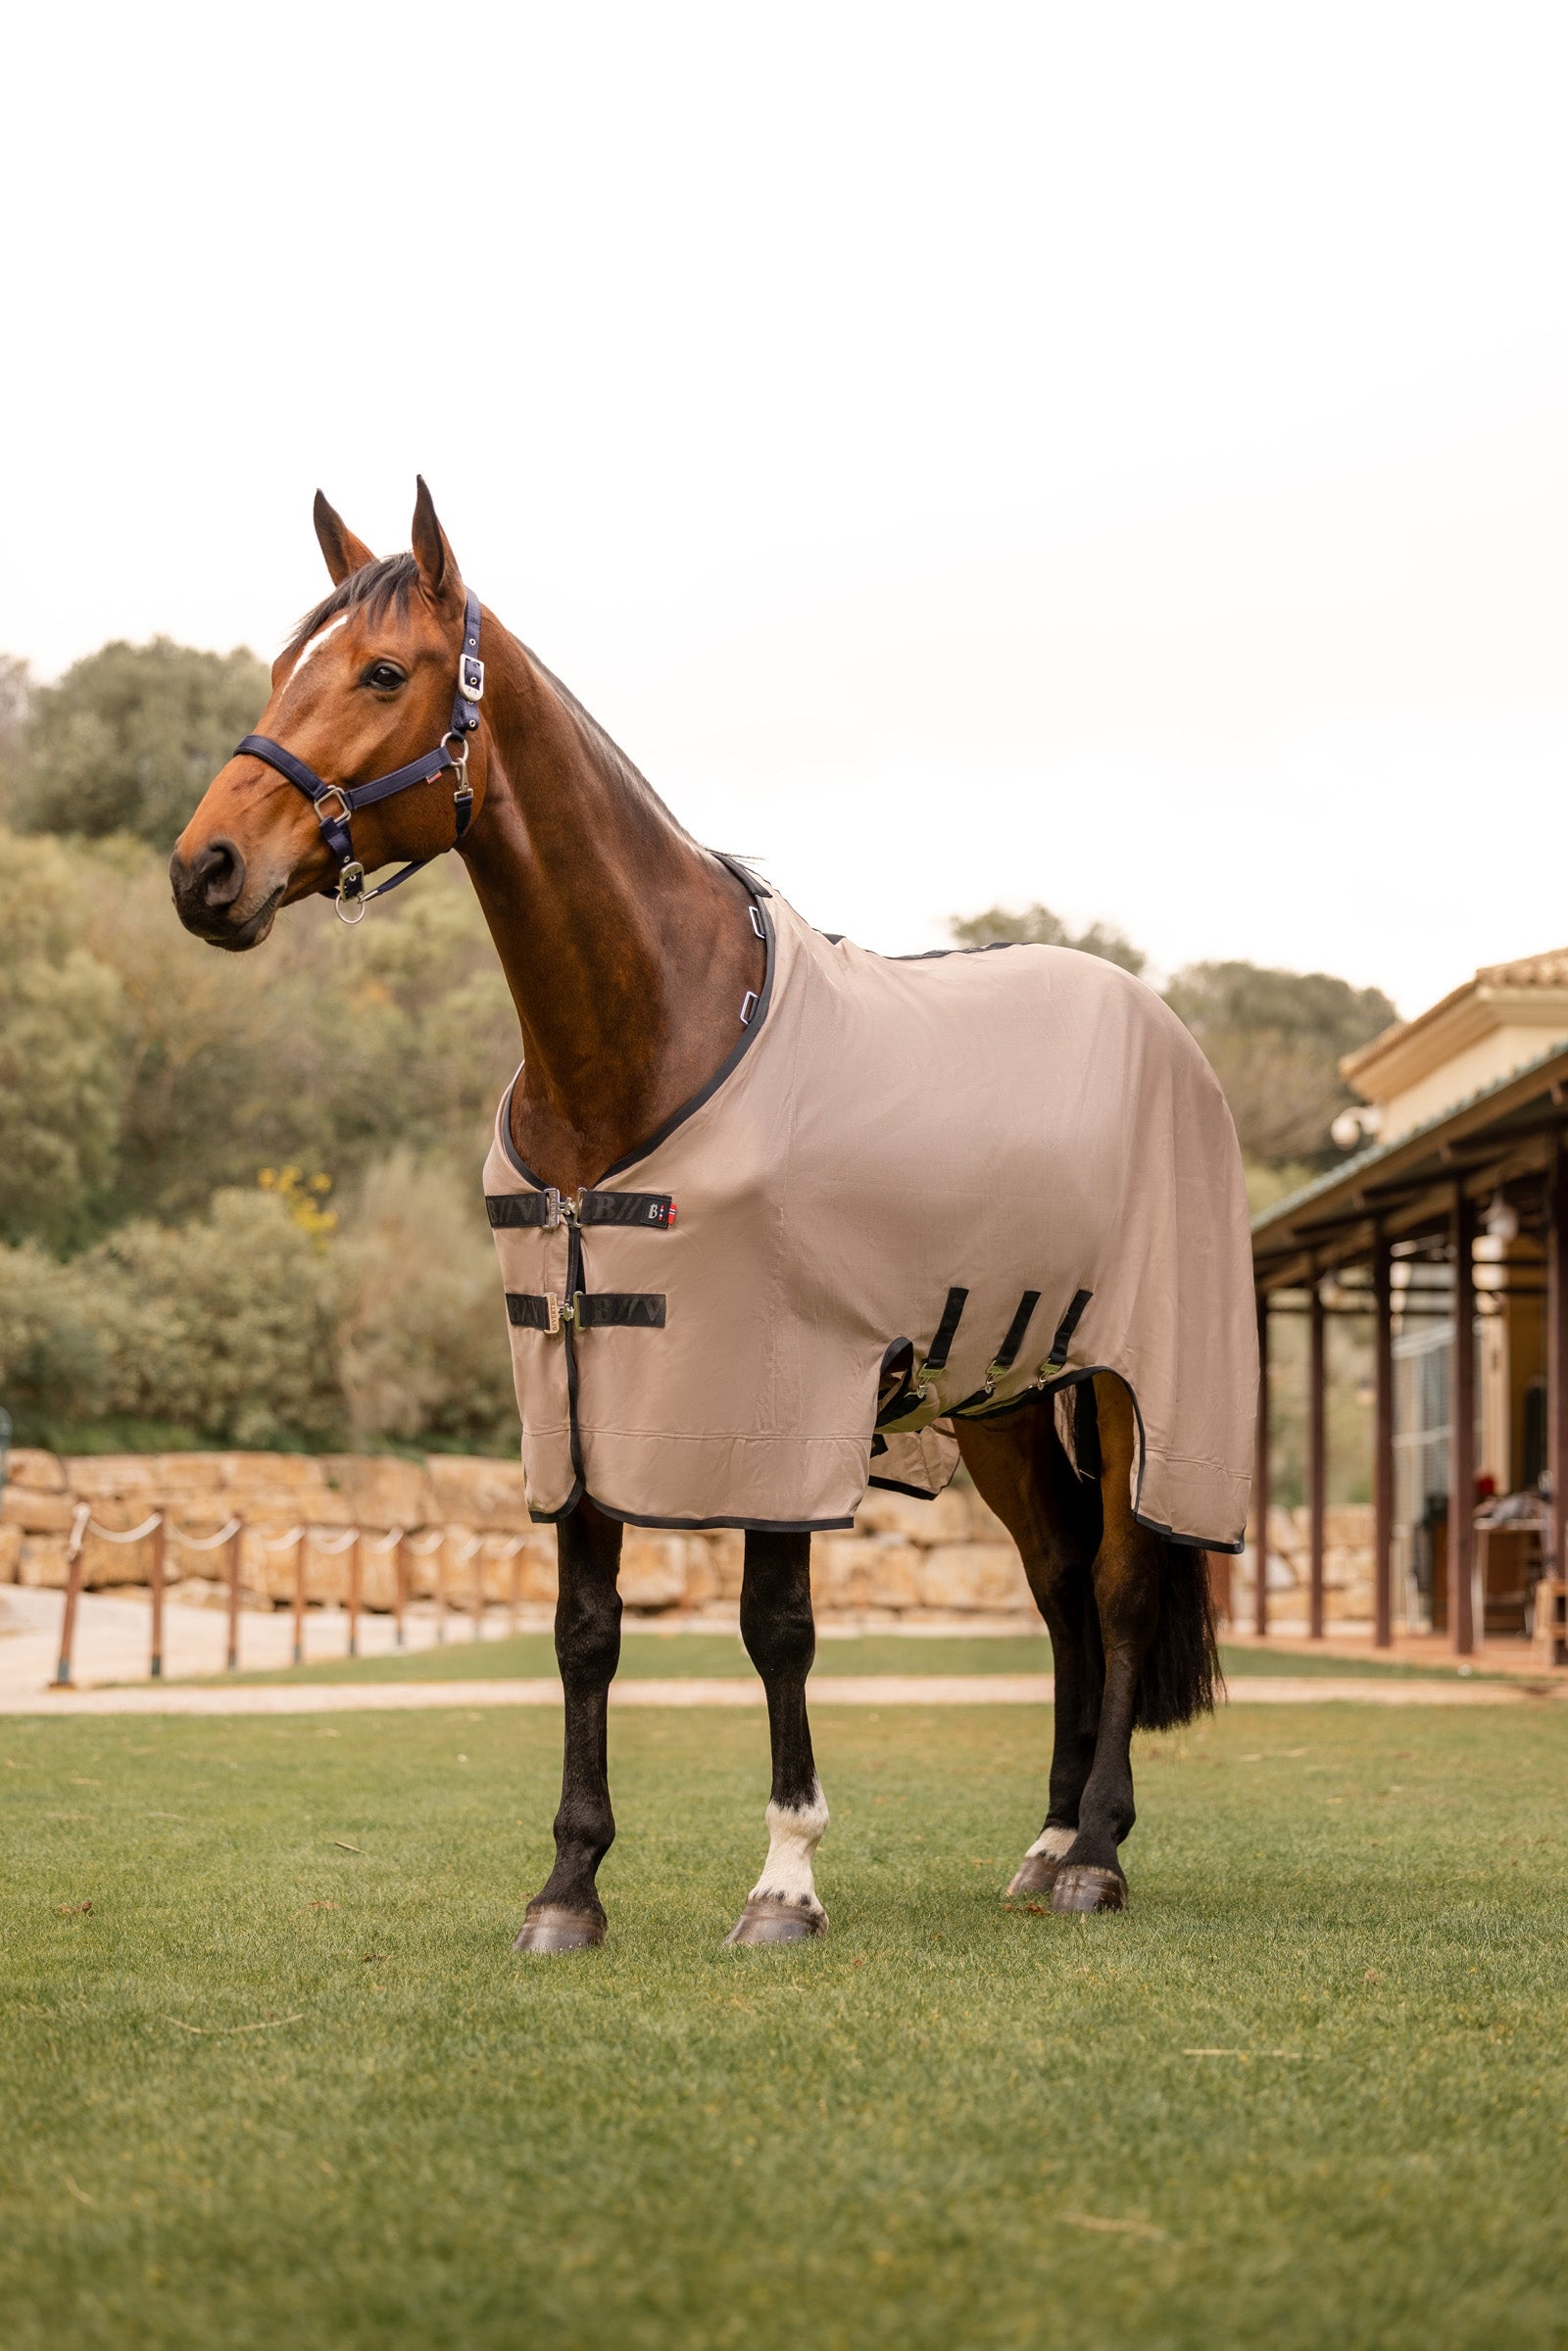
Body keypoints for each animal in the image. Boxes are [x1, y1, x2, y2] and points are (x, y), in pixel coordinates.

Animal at [171, 481, 1252, 1953]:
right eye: (288, 666)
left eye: (383, 672)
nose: (203, 870)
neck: (654, 1030)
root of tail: (1159, 1018)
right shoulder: (576, 1373)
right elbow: (585, 1629)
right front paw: (568, 1886)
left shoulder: (774, 1394)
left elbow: (775, 1626)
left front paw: (784, 1880)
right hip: (1003, 1397)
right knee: (1060, 1585)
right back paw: (1041, 1843)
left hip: (1146, 1379)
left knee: (1127, 1583)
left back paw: (1094, 1852)